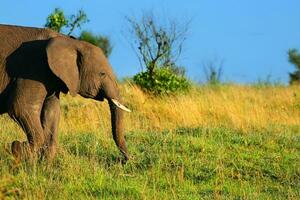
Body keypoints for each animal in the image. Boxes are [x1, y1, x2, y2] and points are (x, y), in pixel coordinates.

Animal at [0, 24, 131, 162]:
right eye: (102, 74)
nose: (124, 160)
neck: (69, 41)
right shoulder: (33, 69)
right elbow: (20, 107)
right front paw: (18, 150)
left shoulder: (51, 77)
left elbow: (52, 113)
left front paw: (44, 163)